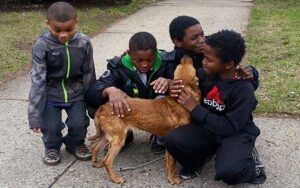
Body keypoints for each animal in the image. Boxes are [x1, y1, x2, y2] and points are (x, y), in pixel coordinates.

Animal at [89, 55, 202, 184]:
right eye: (186, 65)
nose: (185, 55)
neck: (178, 101)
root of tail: (102, 108)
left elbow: (169, 162)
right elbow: (171, 163)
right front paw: (172, 179)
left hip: (107, 136)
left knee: (95, 147)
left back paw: (95, 163)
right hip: (118, 139)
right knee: (107, 161)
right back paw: (115, 178)